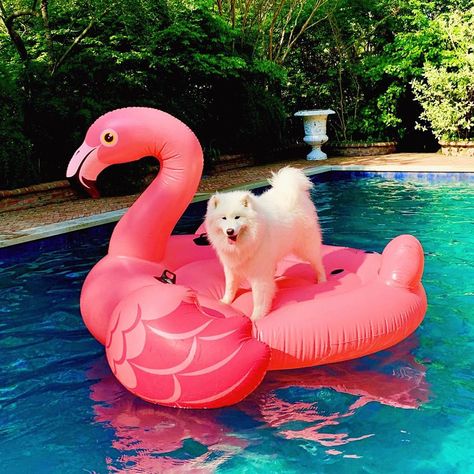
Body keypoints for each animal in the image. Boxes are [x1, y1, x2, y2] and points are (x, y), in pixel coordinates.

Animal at [204, 167, 326, 322]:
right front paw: (225, 302)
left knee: (317, 263)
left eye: (237, 217)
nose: (229, 231)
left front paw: (256, 317)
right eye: (223, 218)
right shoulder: (231, 267)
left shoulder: (259, 274)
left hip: (306, 247)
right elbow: (230, 287)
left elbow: (259, 298)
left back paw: (322, 280)